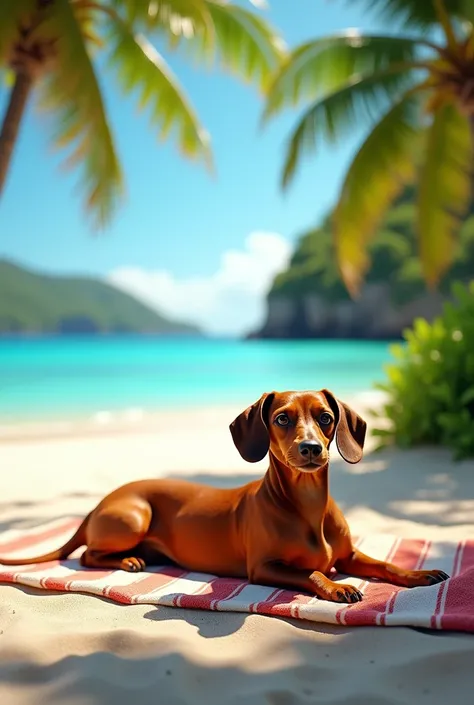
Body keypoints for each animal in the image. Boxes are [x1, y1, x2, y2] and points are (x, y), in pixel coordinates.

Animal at [0, 388, 448, 604]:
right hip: (134, 515)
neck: (305, 506)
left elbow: (385, 564)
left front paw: (418, 573)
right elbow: (312, 573)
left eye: (325, 417)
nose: (310, 449)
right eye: (281, 418)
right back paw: (127, 560)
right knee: (88, 555)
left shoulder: (350, 556)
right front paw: (337, 589)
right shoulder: (264, 568)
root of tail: (98, 504)